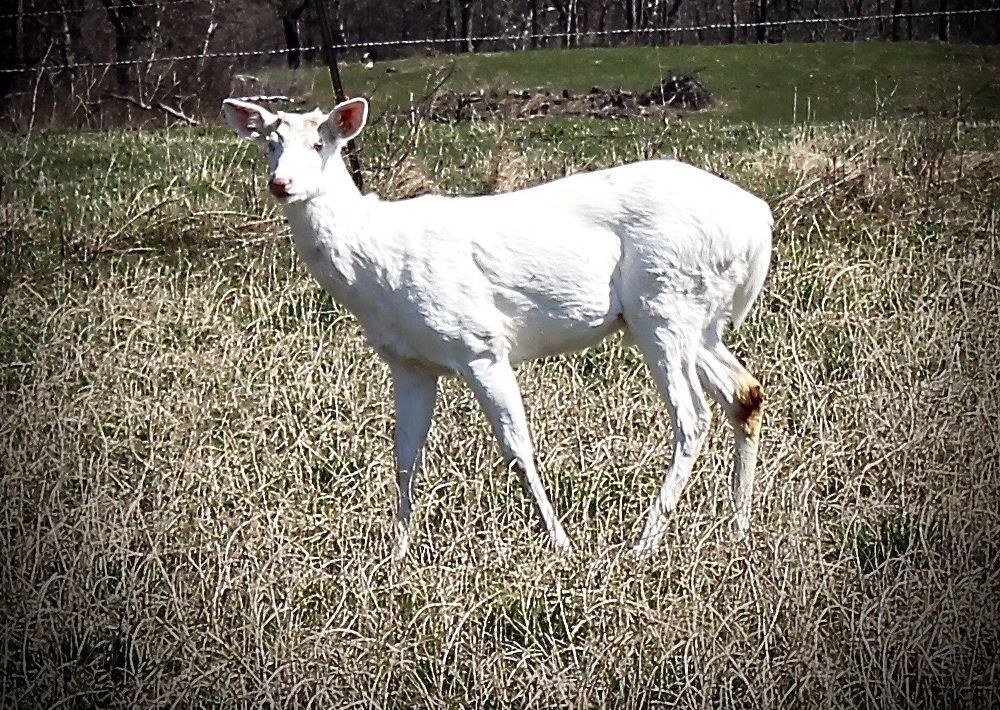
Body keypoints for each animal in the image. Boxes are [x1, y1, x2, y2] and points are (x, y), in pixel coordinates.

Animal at [222, 96, 772, 560]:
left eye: (321, 144)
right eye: (269, 143)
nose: (281, 184)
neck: (376, 264)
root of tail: (759, 222)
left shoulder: (479, 344)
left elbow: (516, 449)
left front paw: (561, 546)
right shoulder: (409, 362)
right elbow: (404, 457)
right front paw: (396, 556)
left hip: (665, 301)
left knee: (693, 415)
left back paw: (642, 545)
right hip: (692, 318)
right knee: (745, 392)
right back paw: (738, 527)